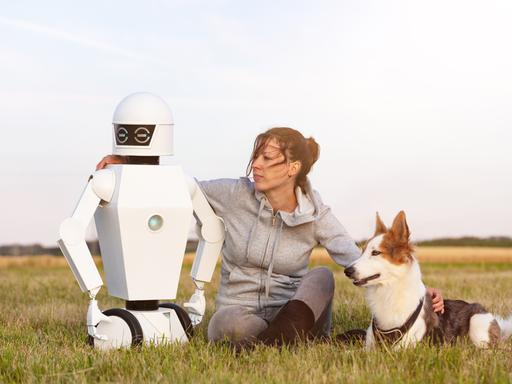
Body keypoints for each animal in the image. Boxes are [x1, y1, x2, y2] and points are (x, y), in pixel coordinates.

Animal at [344, 212, 512, 350]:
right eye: (362, 252)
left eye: (376, 253)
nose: (347, 270)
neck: (389, 290)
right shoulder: (369, 347)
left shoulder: (403, 350)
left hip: (478, 324)